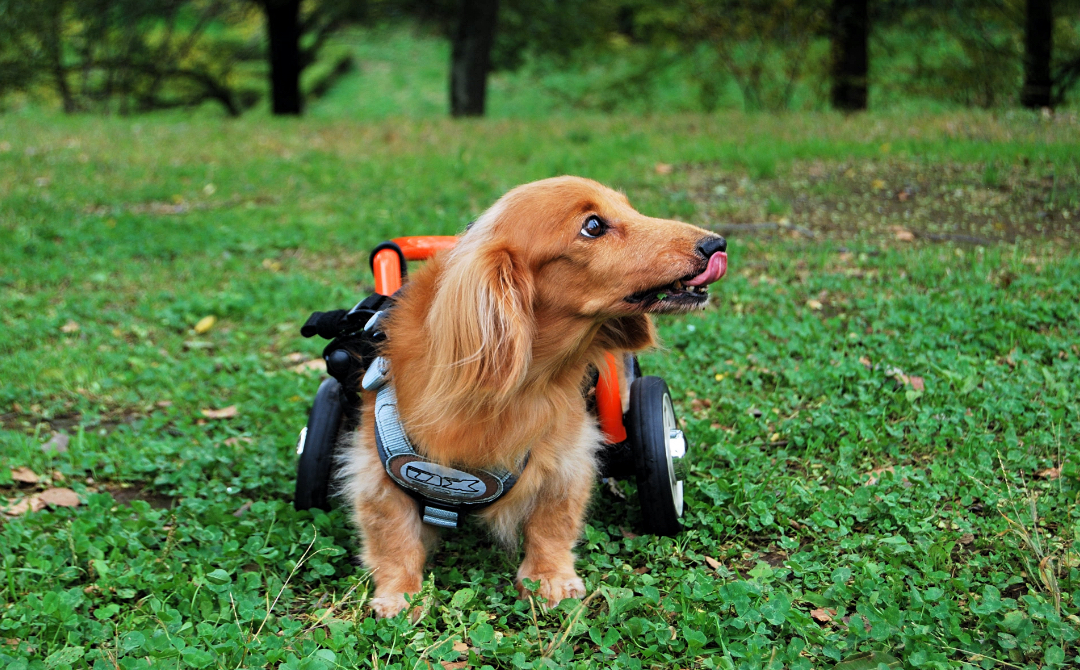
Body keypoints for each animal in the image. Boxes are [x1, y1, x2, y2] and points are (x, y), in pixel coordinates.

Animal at [336, 173, 725, 618]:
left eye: (631, 209)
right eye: (593, 226)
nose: (716, 244)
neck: (521, 386)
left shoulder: (567, 455)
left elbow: (552, 521)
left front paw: (549, 577)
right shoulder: (377, 469)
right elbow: (393, 535)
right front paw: (400, 593)